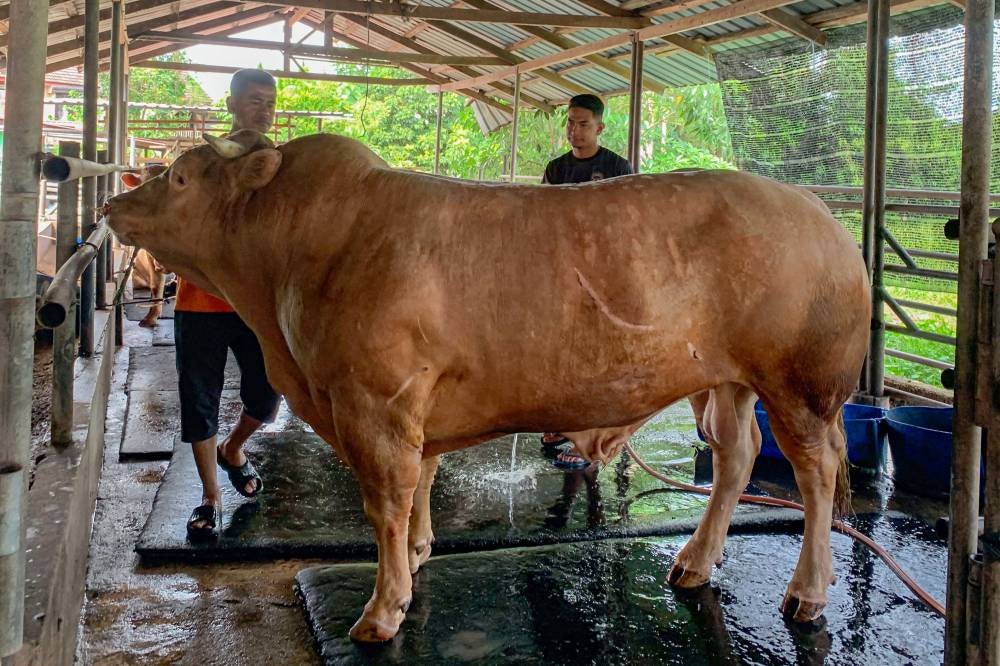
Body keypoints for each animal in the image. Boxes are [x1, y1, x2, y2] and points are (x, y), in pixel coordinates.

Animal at [106, 130, 871, 643]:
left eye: (179, 176)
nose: (113, 202)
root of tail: (820, 214)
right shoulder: (414, 405)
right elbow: (420, 482)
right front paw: (418, 555)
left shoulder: (374, 401)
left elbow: (385, 501)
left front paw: (383, 610)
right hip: (729, 381)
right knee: (737, 456)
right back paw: (693, 563)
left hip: (801, 384)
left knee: (816, 475)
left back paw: (806, 593)